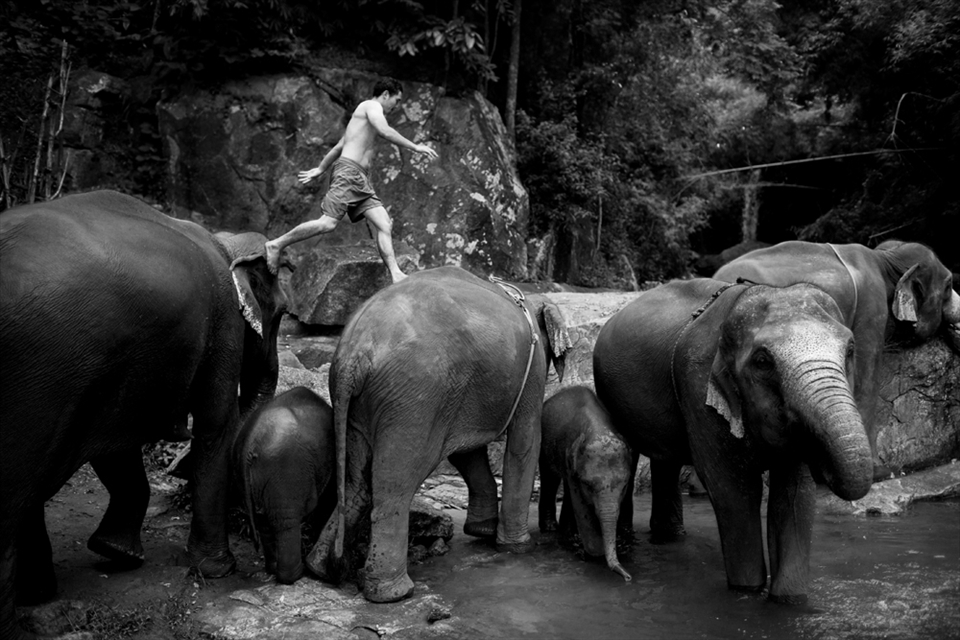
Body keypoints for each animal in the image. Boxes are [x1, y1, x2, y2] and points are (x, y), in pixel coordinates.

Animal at [0, 190, 287, 639]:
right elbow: (215, 425)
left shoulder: (114, 371)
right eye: (280, 314)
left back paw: (38, 593)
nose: (175, 465)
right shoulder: (223, 320)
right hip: (35, 377)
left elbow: (117, 453)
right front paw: (217, 570)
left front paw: (115, 552)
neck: (221, 241)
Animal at [233, 386, 336, 584]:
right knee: (287, 522)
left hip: (248, 479)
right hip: (286, 472)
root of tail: (251, 442)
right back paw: (296, 574)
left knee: (263, 520)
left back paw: (273, 568)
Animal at [306, 266, 570, 603]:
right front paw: (517, 547)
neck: (527, 297)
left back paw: (321, 570)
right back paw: (395, 593)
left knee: (356, 481)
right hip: (414, 397)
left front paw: (482, 532)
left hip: (362, 403)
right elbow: (524, 442)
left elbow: (466, 453)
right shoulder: (530, 371)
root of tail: (355, 354)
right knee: (396, 482)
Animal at [538, 385, 632, 582]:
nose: (628, 577)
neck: (598, 428)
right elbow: (581, 506)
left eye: (624, 486)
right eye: (588, 485)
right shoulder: (569, 458)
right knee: (550, 479)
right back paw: (551, 529)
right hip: (543, 444)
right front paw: (591, 551)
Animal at [593, 278, 874, 604]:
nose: (822, 460)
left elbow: (794, 494)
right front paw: (747, 591)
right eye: (763, 361)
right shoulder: (698, 387)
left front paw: (789, 600)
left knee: (666, 462)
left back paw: (670, 538)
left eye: (850, 350)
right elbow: (733, 490)